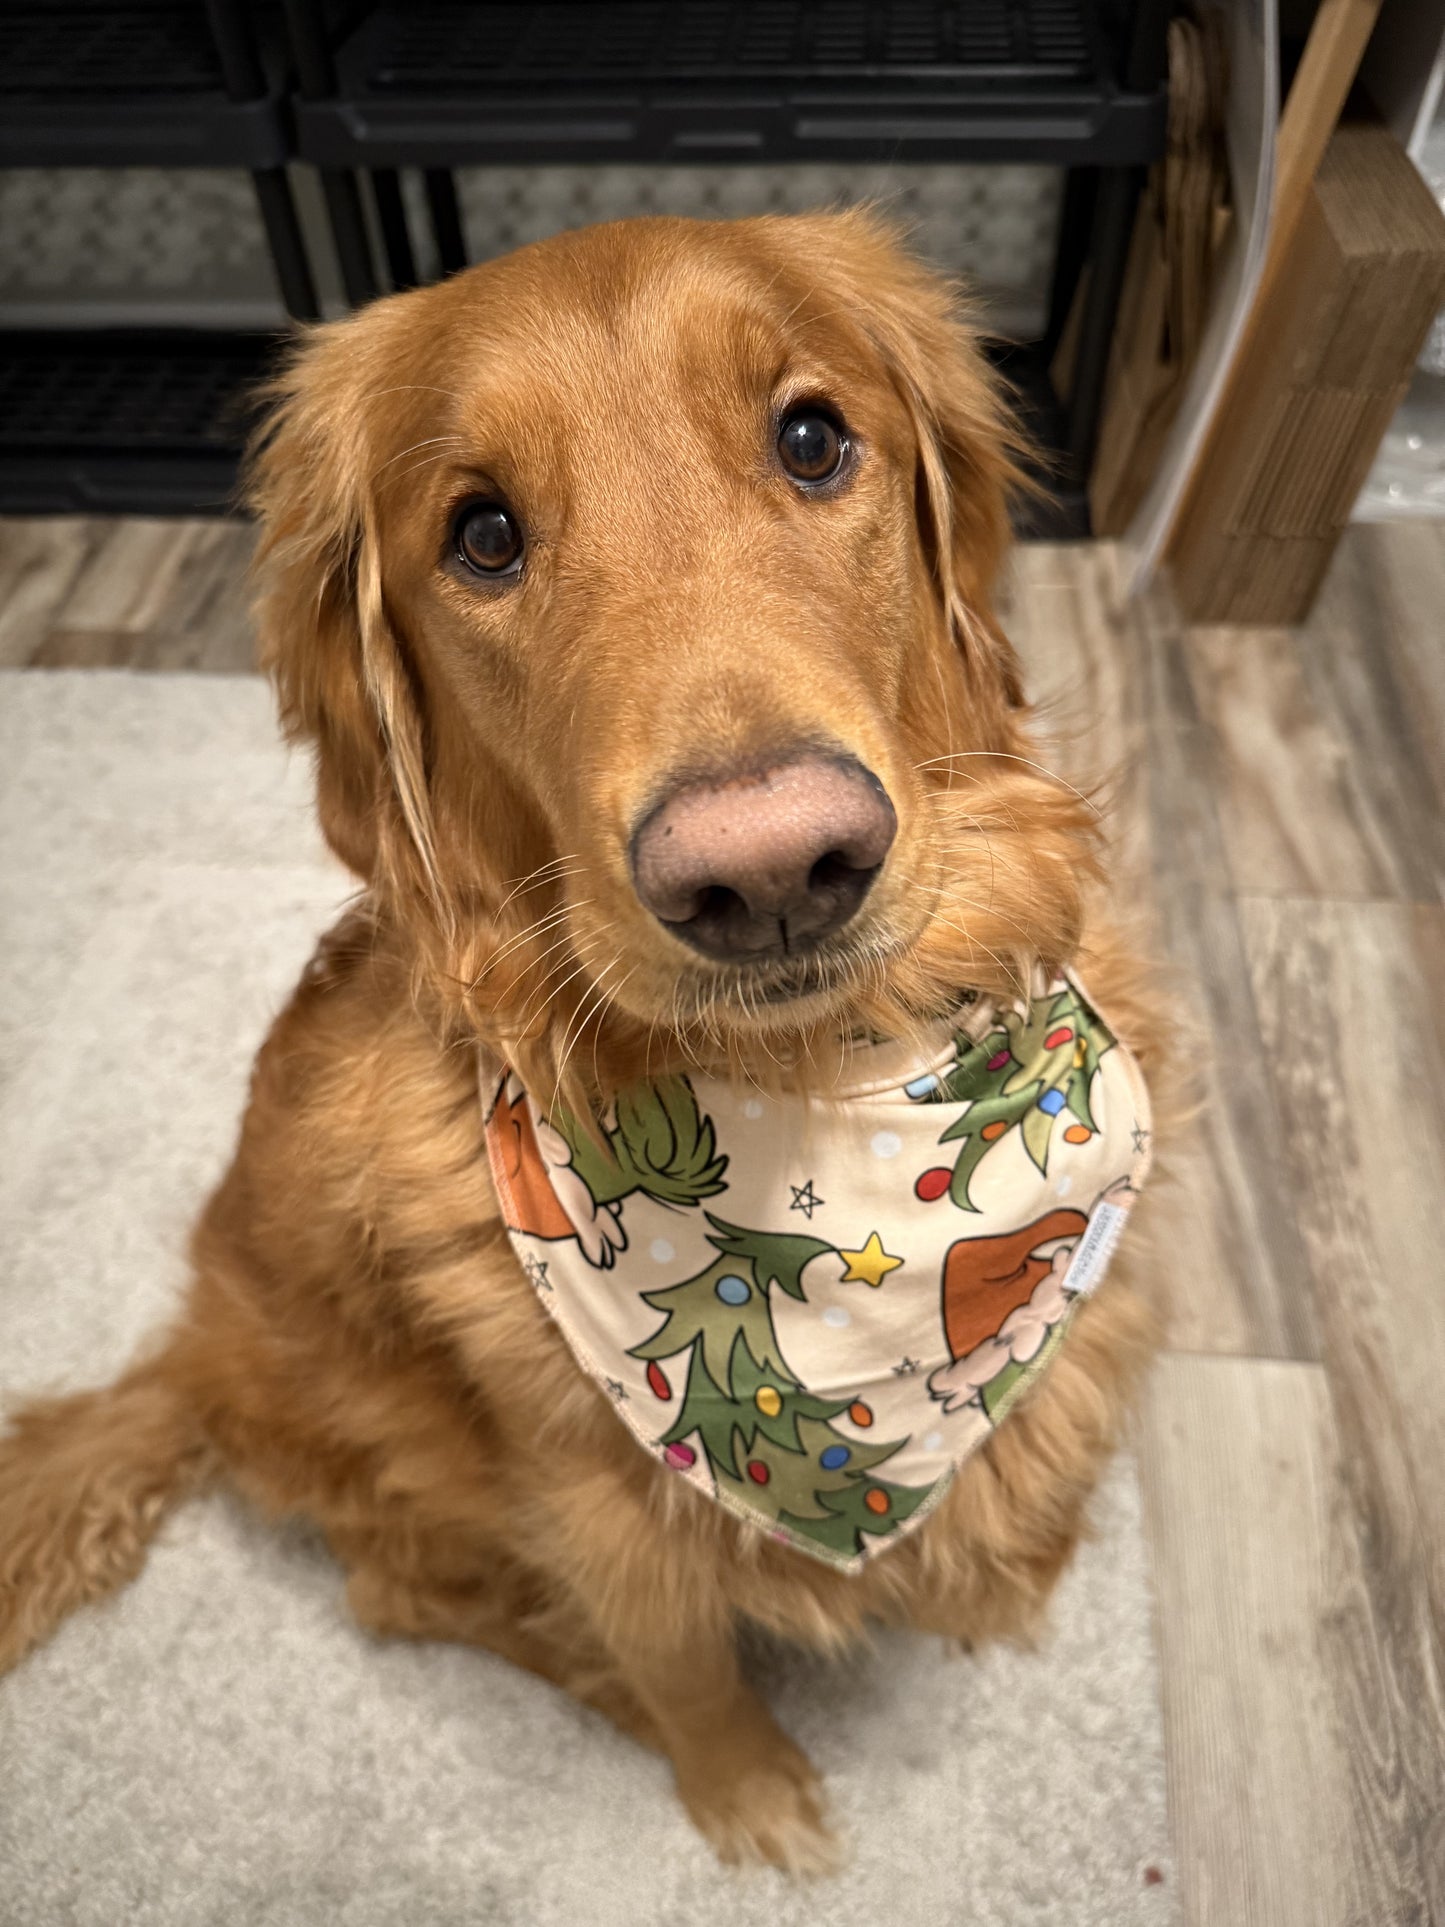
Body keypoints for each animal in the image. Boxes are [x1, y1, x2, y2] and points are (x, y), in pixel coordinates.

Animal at [0, 211, 1179, 1865]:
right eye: (483, 534)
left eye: (811, 439)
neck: (830, 1097)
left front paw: (1016, 1574)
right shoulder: (597, 1501)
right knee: (413, 1591)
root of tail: (189, 1352)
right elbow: (683, 1662)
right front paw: (748, 1791)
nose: (769, 871)